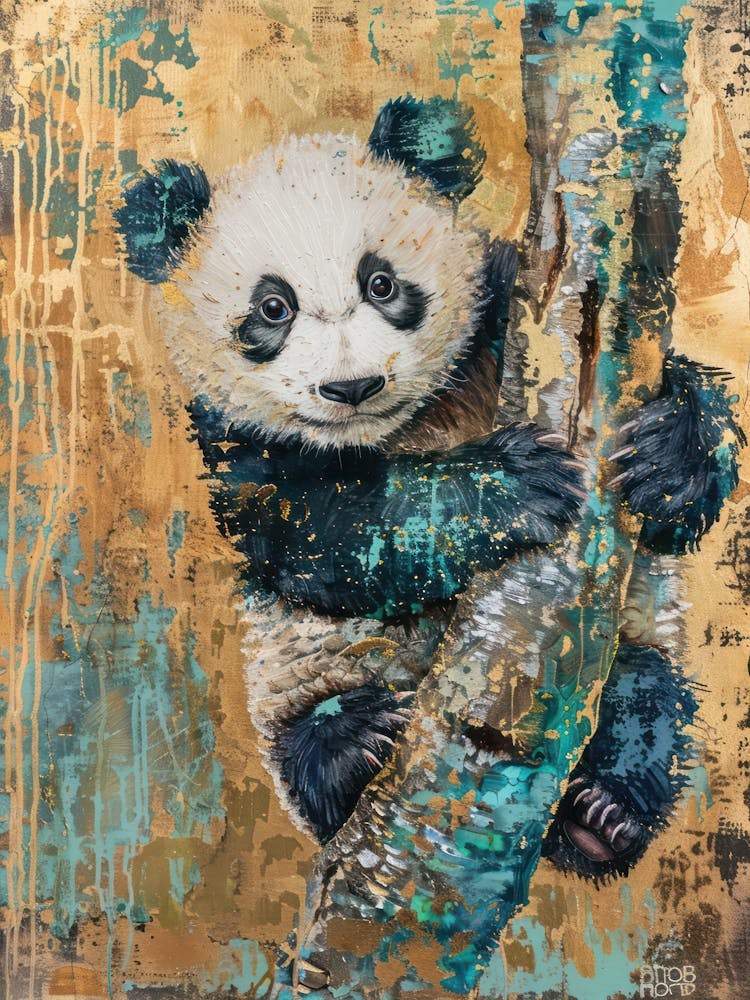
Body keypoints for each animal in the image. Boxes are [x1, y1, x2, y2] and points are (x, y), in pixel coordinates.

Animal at [115, 95, 743, 881]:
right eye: (272, 308)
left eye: (381, 284)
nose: (352, 388)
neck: (410, 423)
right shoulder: (238, 448)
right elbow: (332, 534)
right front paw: (514, 485)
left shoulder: (497, 315)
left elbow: (678, 482)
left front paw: (669, 457)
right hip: (299, 677)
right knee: (305, 749)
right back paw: (354, 749)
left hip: (634, 640)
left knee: (647, 701)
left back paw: (604, 812)